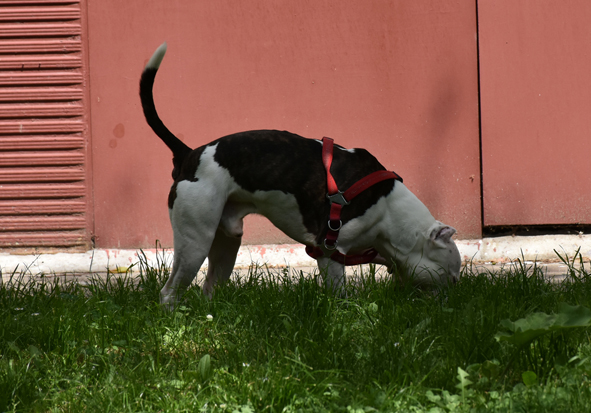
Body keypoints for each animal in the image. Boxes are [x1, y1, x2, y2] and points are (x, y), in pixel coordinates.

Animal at [140, 42, 462, 306]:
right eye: (453, 277)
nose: (452, 303)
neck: (390, 211)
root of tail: (189, 154)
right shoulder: (331, 251)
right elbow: (339, 294)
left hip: (225, 243)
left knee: (210, 288)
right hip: (195, 241)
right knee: (169, 292)